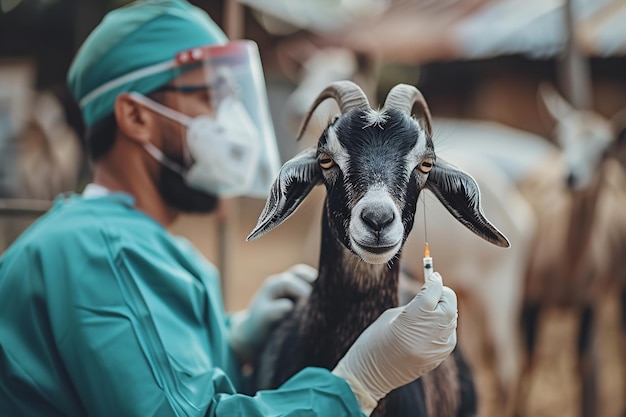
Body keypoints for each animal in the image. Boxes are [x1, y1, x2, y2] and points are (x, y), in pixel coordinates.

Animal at [512, 83, 624, 416]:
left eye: (603, 150)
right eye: (562, 138)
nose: (571, 177)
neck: (568, 265)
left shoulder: (590, 304)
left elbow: (582, 364)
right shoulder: (532, 298)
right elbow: (527, 362)